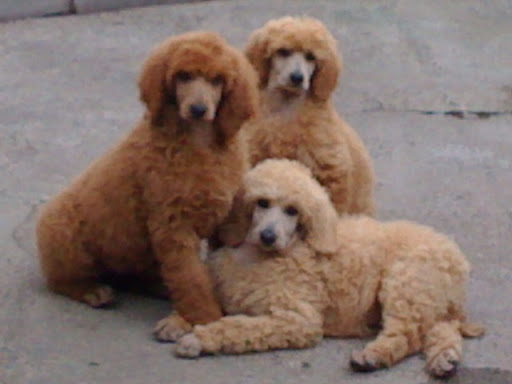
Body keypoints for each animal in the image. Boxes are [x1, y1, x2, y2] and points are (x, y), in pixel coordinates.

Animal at [36, 31, 260, 330]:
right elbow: (190, 276)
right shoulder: (173, 225)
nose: (198, 109)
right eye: (184, 76)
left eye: (217, 80)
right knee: (60, 280)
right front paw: (204, 317)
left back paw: (159, 286)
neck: (198, 142)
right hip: (65, 236)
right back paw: (91, 290)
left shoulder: (226, 218)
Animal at [168, 159, 484, 378]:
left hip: (406, 282)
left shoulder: (298, 318)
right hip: (428, 299)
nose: (269, 236)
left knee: (408, 334)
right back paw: (444, 360)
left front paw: (199, 339)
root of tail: (457, 260)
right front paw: (178, 321)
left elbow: (241, 326)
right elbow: (201, 297)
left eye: (292, 211)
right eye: (262, 203)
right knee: (441, 329)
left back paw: (374, 356)